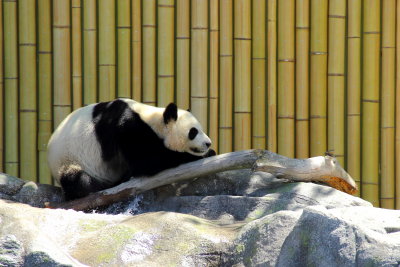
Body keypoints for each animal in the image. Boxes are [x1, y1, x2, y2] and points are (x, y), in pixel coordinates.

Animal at [47, 99, 216, 201]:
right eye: (193, 132)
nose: (208, 143)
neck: (151, 118)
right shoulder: (127, 128)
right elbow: (147, 162)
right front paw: (201, 155)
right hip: (70, 160)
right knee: (79, 181)